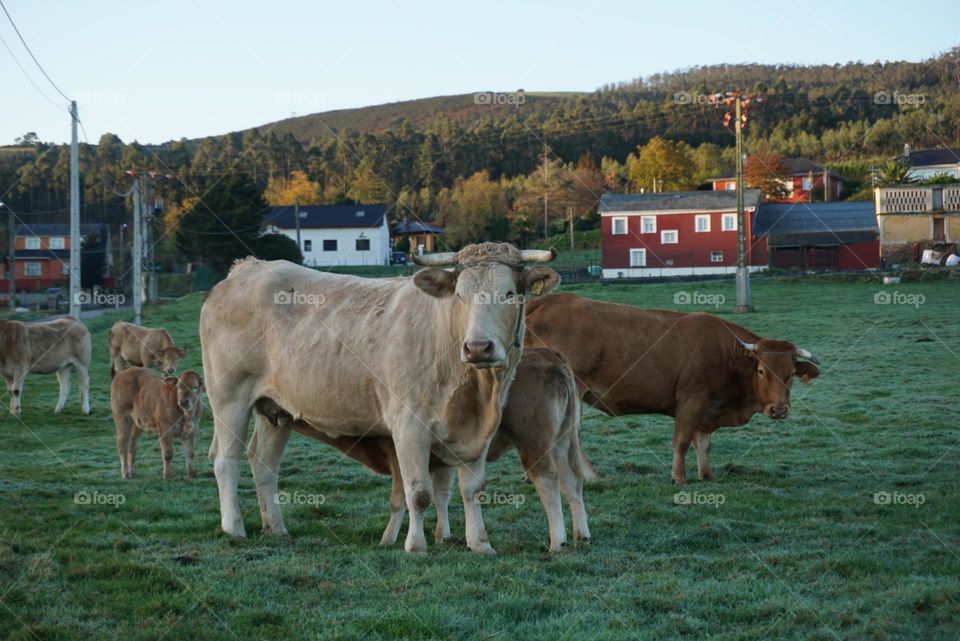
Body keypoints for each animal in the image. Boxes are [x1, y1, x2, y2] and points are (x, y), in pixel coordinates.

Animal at [524, 292, 816, 482]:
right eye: (762, 371)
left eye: (791, 374)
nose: (779, 409)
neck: (726, 354)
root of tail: (549, 301)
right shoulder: (690, 401)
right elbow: (682, 441)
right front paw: (679, 477)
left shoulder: (706, 408)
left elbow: (703, 443)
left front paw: (706, 474)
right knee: (570, 433)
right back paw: (589, 475)